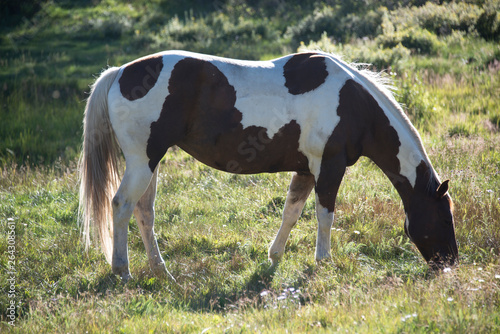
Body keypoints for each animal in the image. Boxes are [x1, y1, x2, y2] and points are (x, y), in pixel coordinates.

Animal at [80, 50, 458, 280]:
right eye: (443, 218)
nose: (451, 264)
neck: (352, 103)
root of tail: (119, 73)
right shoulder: (329, 167)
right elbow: (324, 216)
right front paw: (324, 263)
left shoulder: (306, 169)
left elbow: (291, 212)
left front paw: (273, 257)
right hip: (142, 162)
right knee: (121, 205)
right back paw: (122, 271)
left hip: (151, 162)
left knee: (144, 212)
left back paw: (162, 272)